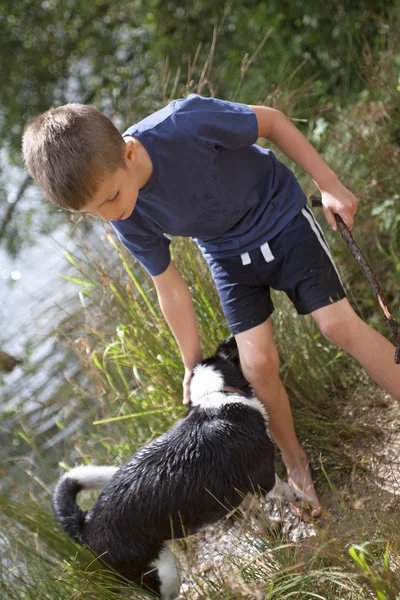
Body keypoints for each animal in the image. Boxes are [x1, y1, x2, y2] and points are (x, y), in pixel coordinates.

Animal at [52, 340, 310, 596]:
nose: (235, 337)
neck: (218, 396)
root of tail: (86, 524)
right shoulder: (263, 477)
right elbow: (292, 493)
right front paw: (308, 505)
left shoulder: (240, 492)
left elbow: (256, 515)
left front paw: (272, 530)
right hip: (164, 573)